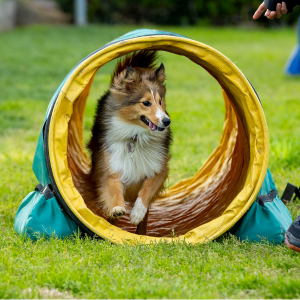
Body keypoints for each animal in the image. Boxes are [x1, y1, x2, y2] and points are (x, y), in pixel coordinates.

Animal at [79, 50, 171, 236]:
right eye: (146, 103)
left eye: (160, 101)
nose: (167, 121)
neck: (136, 136)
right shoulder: (110, 167)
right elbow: (114, 189)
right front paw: (117, 209)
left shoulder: (158, 169)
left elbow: (146, 191)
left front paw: (136, 214)